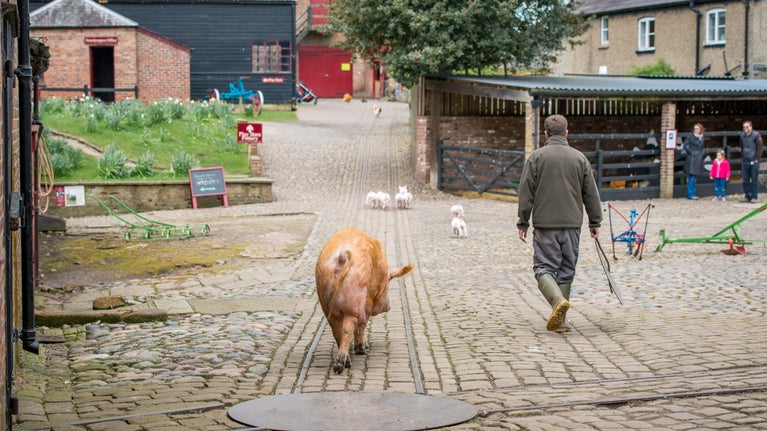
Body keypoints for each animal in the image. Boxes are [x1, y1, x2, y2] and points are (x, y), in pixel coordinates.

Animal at [315, 227, 414, 373]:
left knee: (337, 331)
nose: (389, 306)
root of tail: (342, 256)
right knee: (348, 329)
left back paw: (345, 362)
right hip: (354, 301)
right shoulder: (367, 303)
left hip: (326, 302)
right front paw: (362, 348)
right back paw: (343, 364)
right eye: (388, 282)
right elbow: (362, 324)